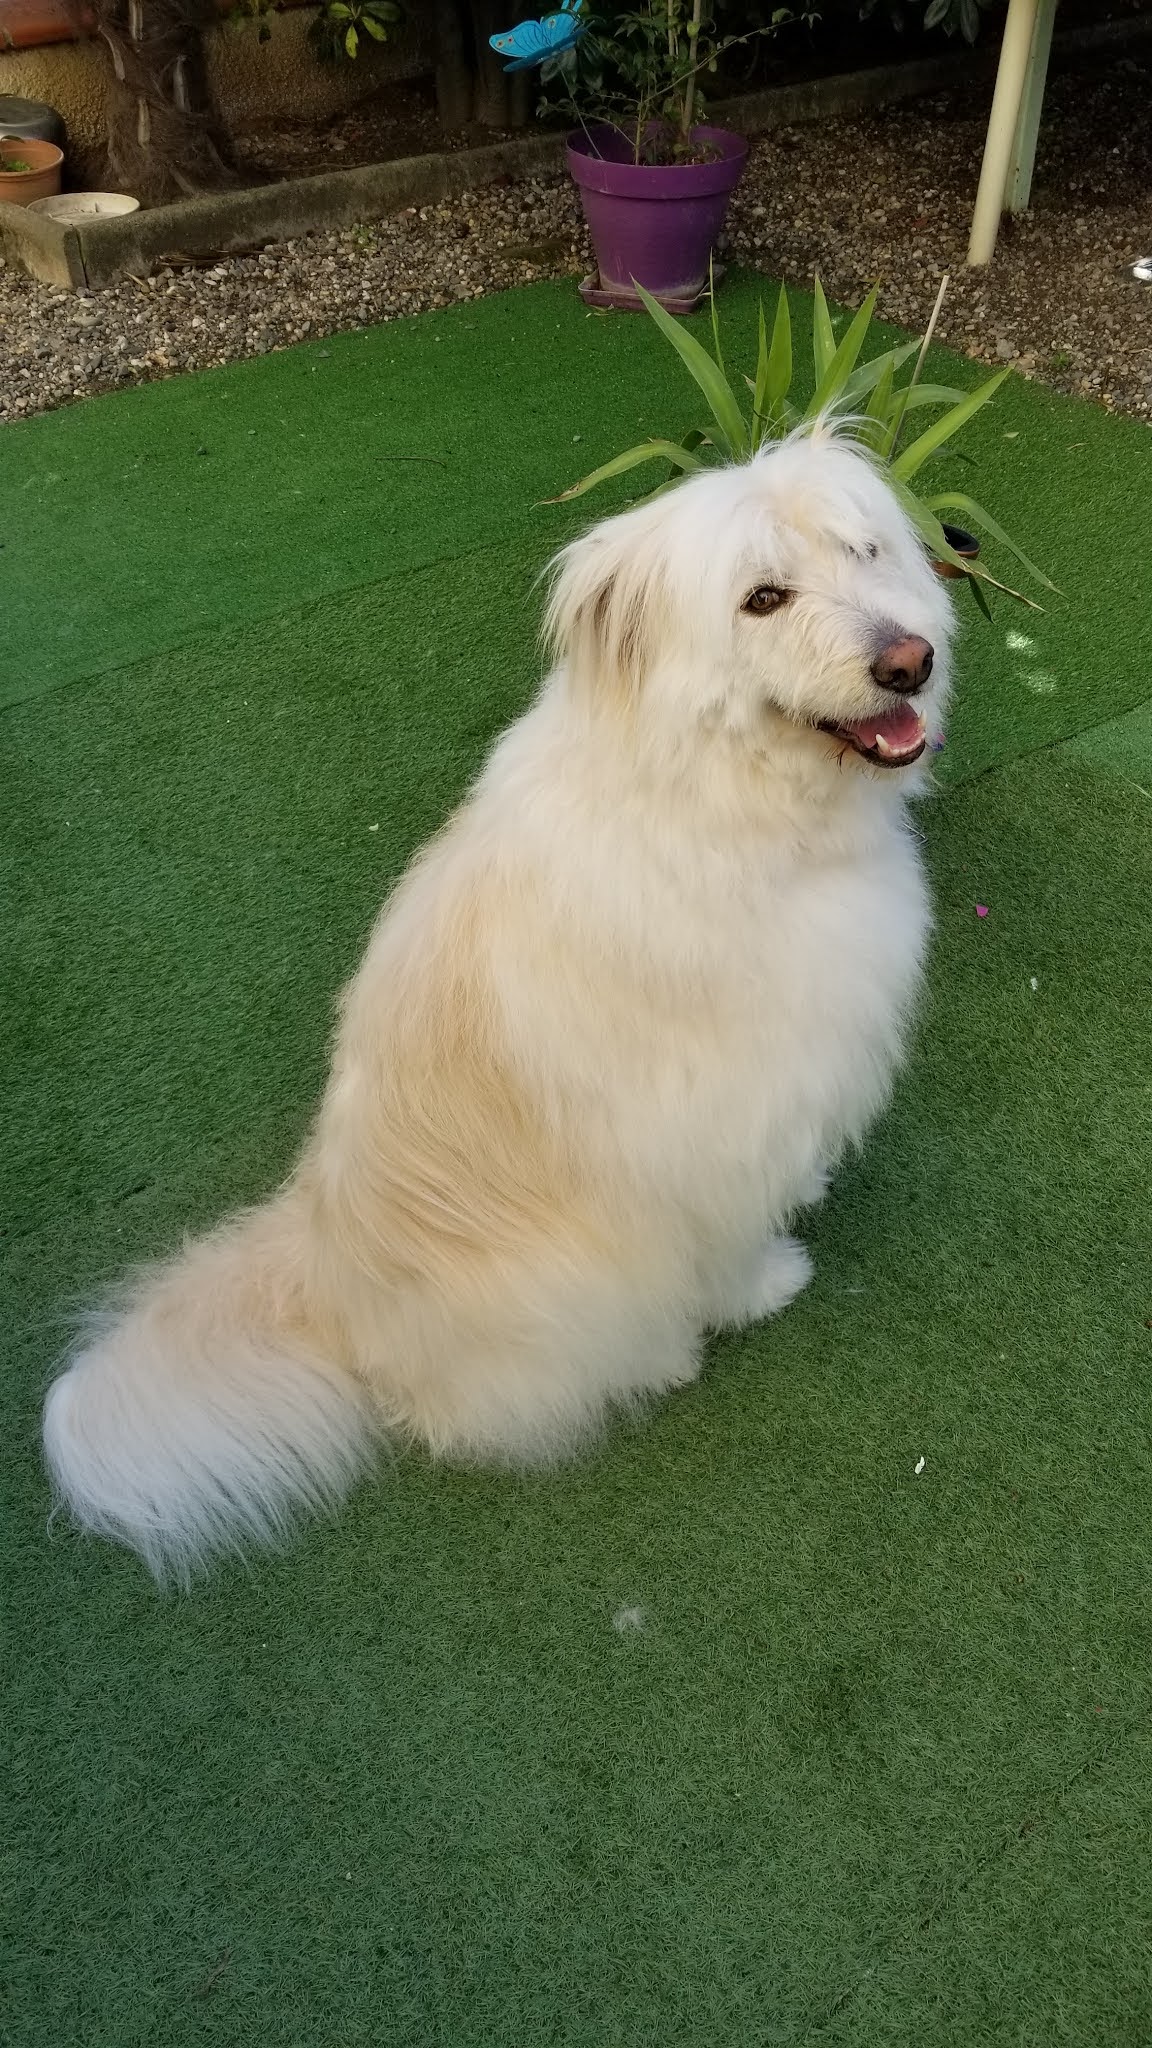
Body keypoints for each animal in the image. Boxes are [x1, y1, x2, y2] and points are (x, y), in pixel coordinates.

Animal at [42, 428, 954, 1582]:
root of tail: (322, 1270)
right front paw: (767, 1283)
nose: (909, 660)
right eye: (762, 598)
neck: (708, 803)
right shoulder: (705, 1133)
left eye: (864, 550)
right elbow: (729, 1241)